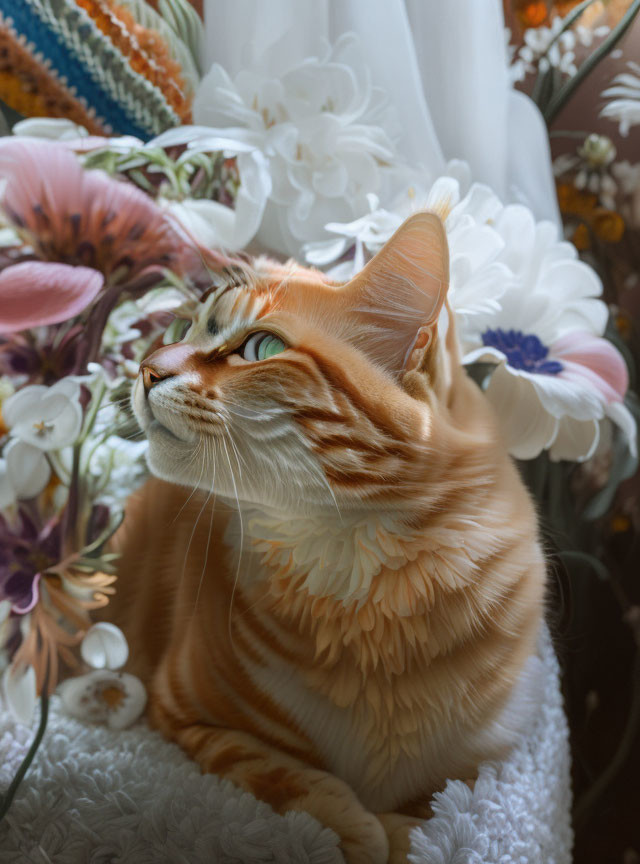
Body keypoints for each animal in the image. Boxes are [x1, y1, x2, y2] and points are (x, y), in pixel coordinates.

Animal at [105, 211, 544, 864]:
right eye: (184, 327)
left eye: (261, 347)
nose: (147, 368)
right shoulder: (184, 716)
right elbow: (282, 775)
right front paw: (351, 831)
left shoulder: (485, 764)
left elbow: (435, 816)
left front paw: (403, 833)